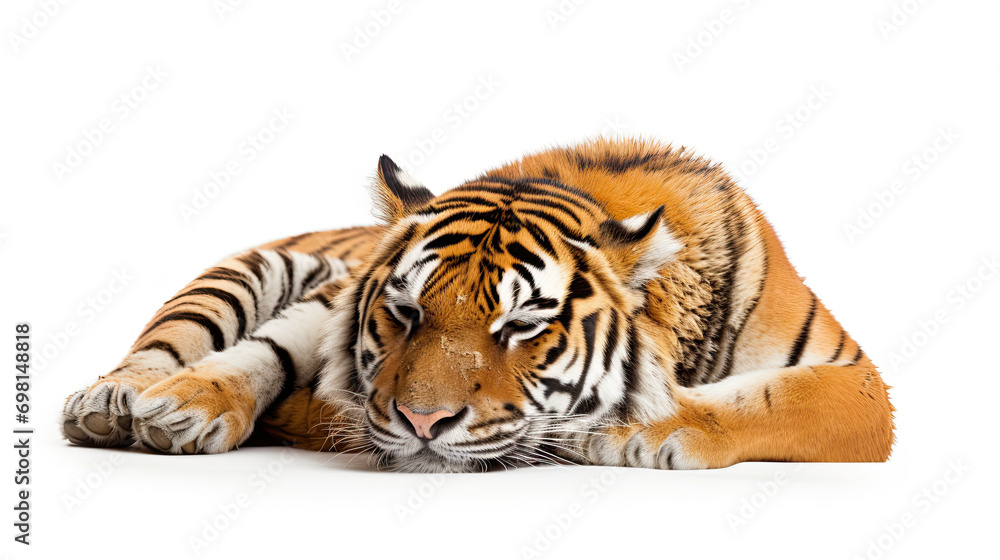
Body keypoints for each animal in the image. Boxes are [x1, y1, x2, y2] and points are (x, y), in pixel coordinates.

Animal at [61, 138, 895, 472]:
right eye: (406, 313)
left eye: (521, 326)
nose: (421, 423)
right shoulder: (331, 304)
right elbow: (264, 352)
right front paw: (187, 405)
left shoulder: (860, 380)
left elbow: (773, 400)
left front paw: (632, 429)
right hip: (248, 271)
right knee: (170, 343)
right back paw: (119, 402)